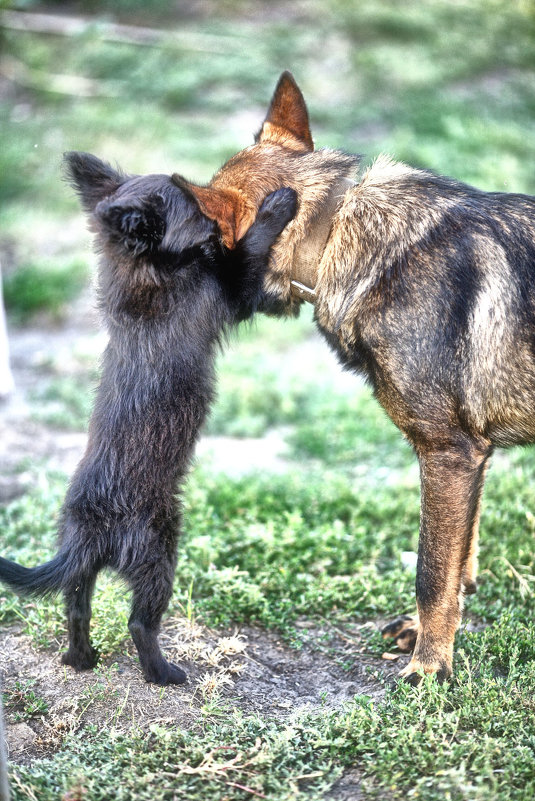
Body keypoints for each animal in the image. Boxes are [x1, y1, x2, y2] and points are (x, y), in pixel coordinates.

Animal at [0, 153, 298, 684]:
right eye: (197, 211)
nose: (218, 222)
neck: (143, 270)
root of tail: (92, 529)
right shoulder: (230, 290)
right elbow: (250, 255)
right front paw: (276, 206)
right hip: (160, 549)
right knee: (140, 622)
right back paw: (164, 673)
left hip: (81, 565)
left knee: (76, 608)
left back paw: (80, 659)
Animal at [178, 72, 535, 680]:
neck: (333, 231)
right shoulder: (473, 457)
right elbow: (460, 562)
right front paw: (432, 638)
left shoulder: (448, 454)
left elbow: (431, 570)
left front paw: (429, 668)